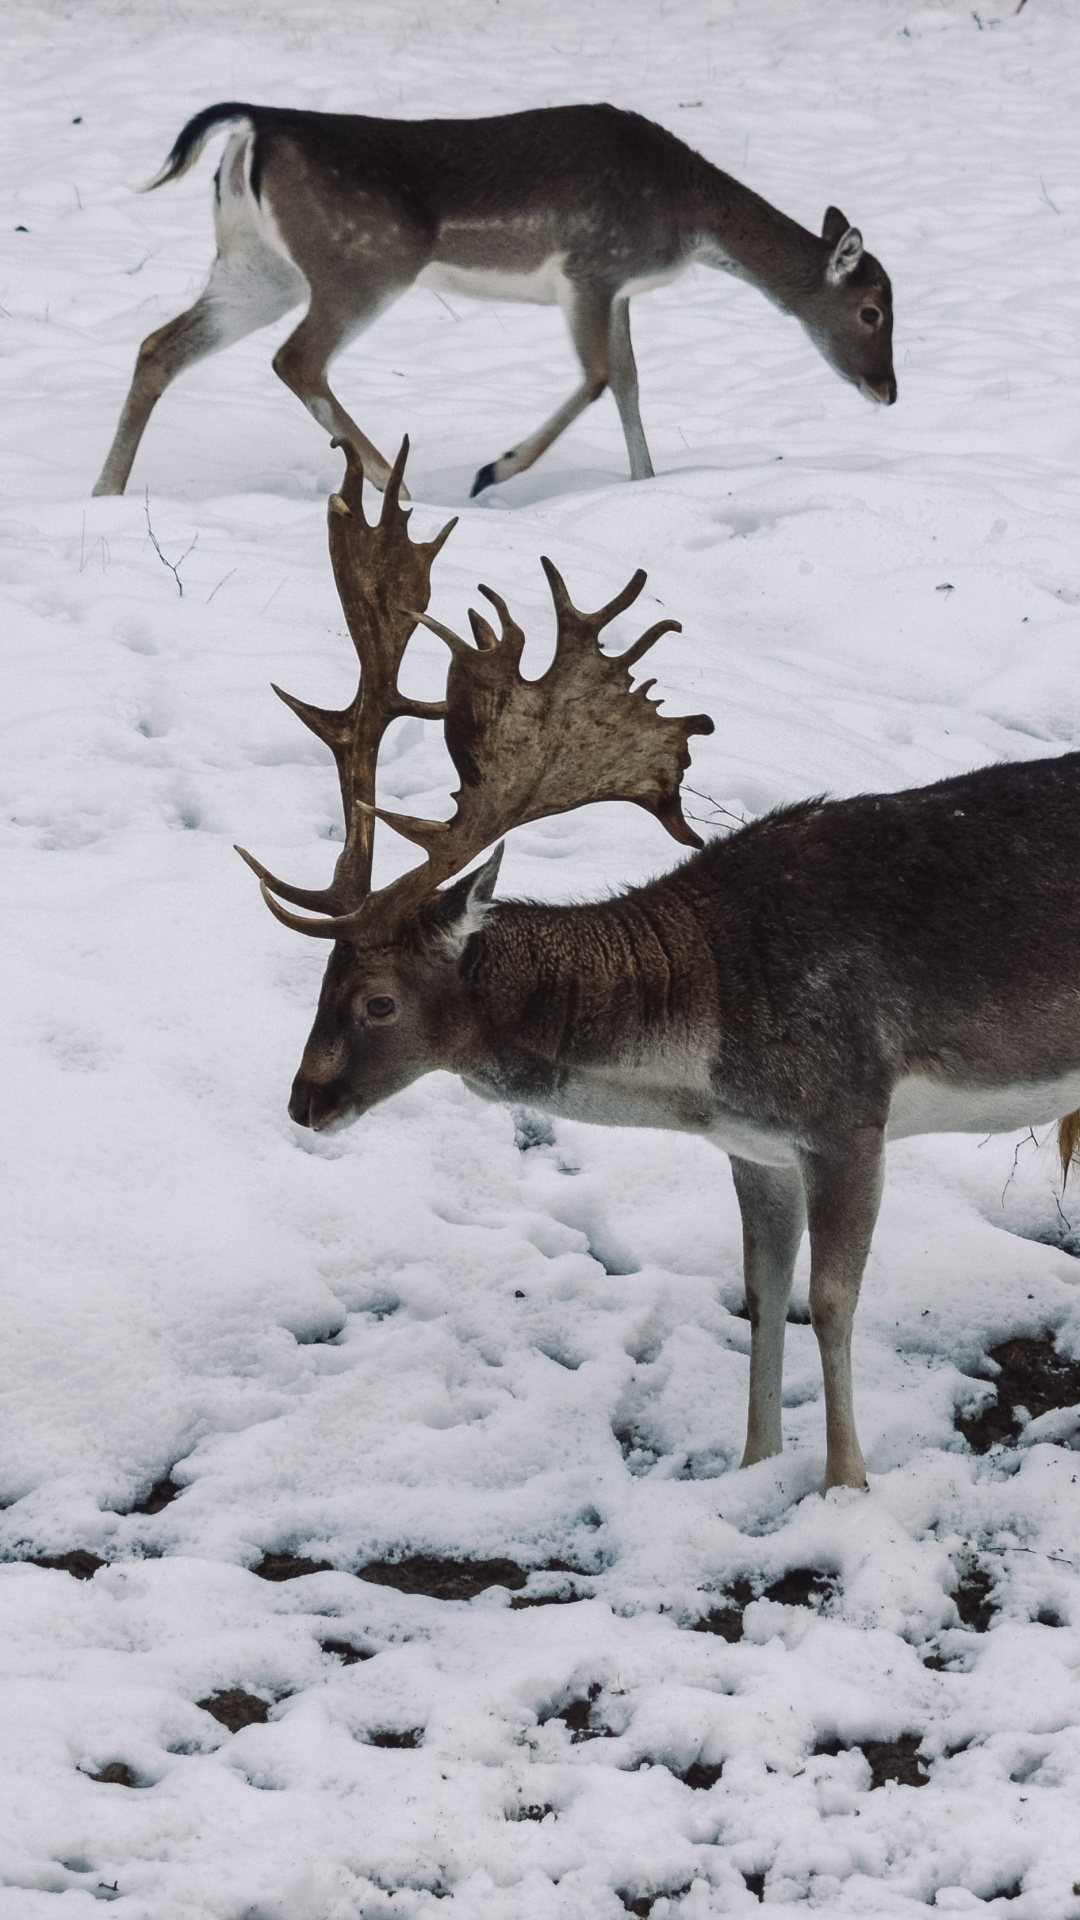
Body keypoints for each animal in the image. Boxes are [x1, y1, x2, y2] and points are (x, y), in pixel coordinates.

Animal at [92, 101, 895, 502]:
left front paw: (645, 485)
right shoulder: (590, 267)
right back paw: (398, 489)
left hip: (257, 267)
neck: (688, 221)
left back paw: (106, 492)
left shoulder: (617, 289)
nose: (888, 390)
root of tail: (253, 128)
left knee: (159, 346)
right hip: (364, 264)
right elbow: (601, 377)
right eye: (872, 312)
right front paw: (494, 469)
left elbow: (630, 383)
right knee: (296, 358)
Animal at [238, 441, 1080, 1493]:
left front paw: (846, 1485)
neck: (705, 1043)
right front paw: (753, 1466)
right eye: (318, 982)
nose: (303, 1102)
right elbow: (762, 1292)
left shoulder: (849, 1112)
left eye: (379, 1001)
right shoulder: (754, 1146)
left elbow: (831, 1300)